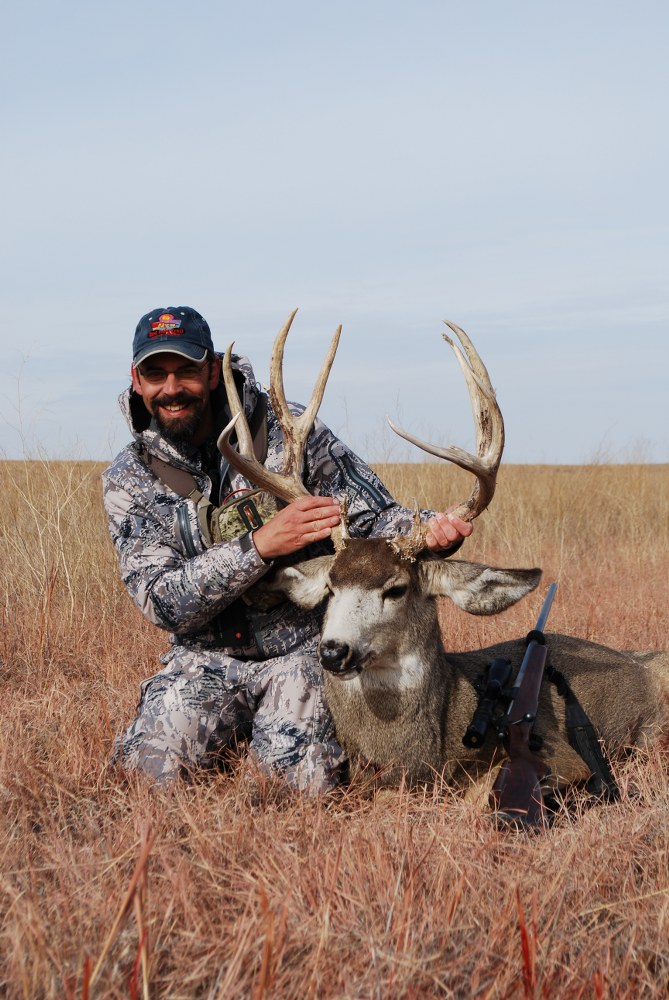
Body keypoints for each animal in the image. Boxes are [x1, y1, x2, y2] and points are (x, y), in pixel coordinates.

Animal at [217, 311, 669, 802]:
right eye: (331, 587)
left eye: (396, 588)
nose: (333, 651)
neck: (418, 752)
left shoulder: (563, 757)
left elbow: (484, 789)